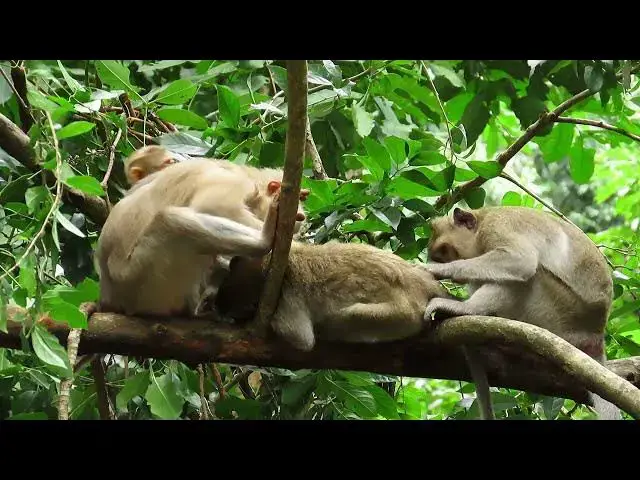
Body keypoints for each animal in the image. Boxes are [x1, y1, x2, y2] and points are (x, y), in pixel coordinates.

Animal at [420, 206, 619, 420]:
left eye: (446, 251)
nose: (444, 262)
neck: (482, 221)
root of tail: (595, 335)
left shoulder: (498, 226)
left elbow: (519, 260)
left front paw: (438, 270)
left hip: (557, 313)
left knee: (527, 276)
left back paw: (467, 309)